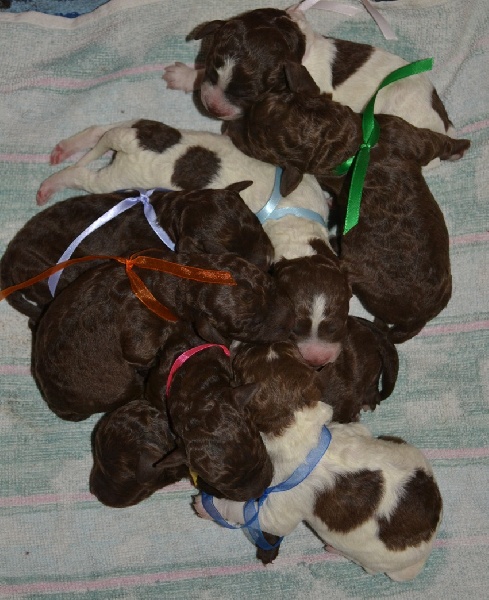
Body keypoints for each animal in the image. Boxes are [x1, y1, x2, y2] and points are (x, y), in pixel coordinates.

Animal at [34, 246, 296, 420]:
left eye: (269, 282)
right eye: (249, 325)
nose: (291, 322)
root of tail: (53, 401)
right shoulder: (141, 334)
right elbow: (141, 352)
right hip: (118, 387)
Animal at [194, 340, 442, 580]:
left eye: (239, 366)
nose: (239, 344)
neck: (300, 426)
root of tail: (424, 552)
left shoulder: (281, 505)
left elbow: (249, 513)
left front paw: (206, 506)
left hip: (371, 559)